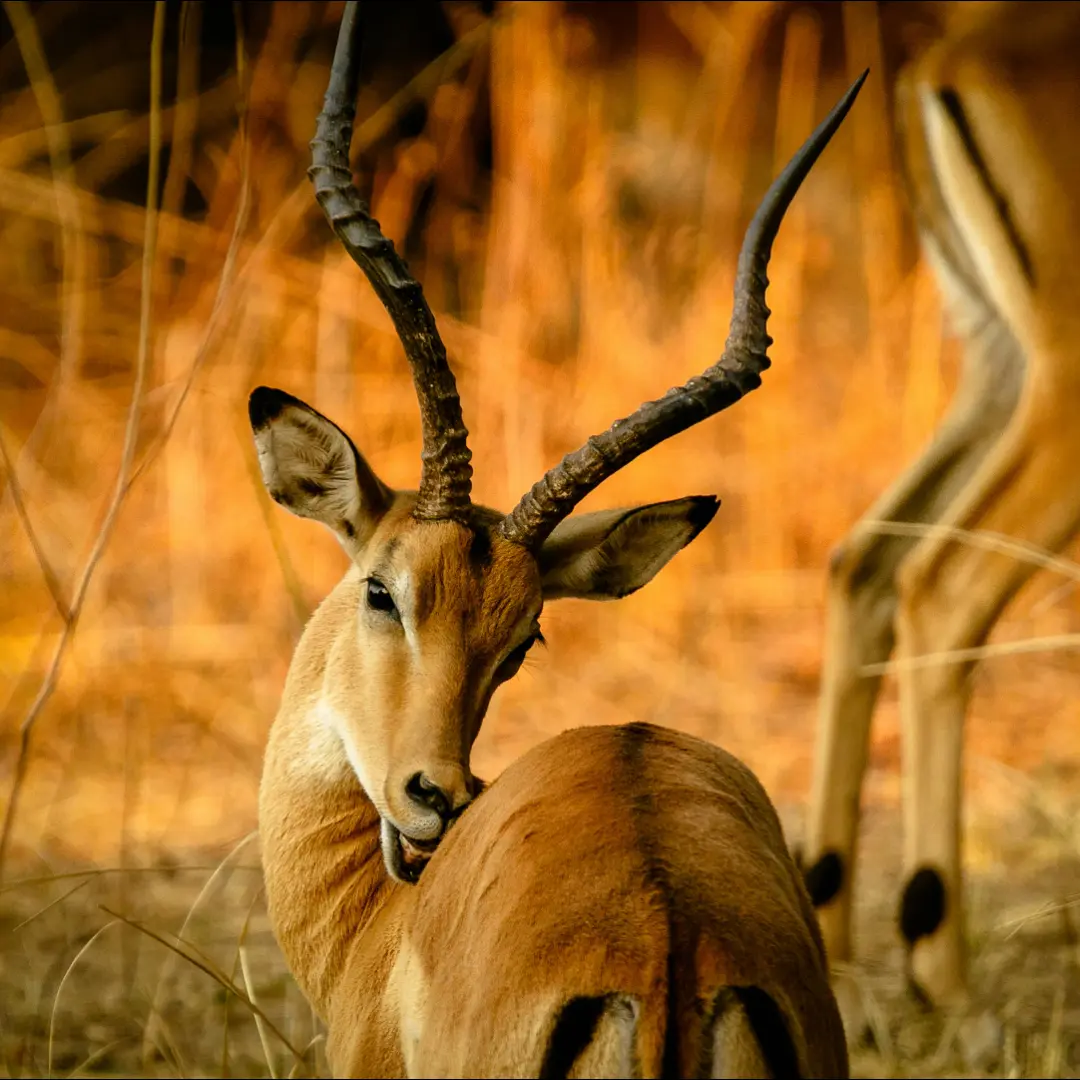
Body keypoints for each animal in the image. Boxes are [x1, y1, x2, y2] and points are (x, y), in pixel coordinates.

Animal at [802, 0, 1080, 1009]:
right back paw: (941, 971)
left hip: (998, 377)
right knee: (941, 587)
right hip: (1057, 393)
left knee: (865, 564)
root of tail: (949, 60)